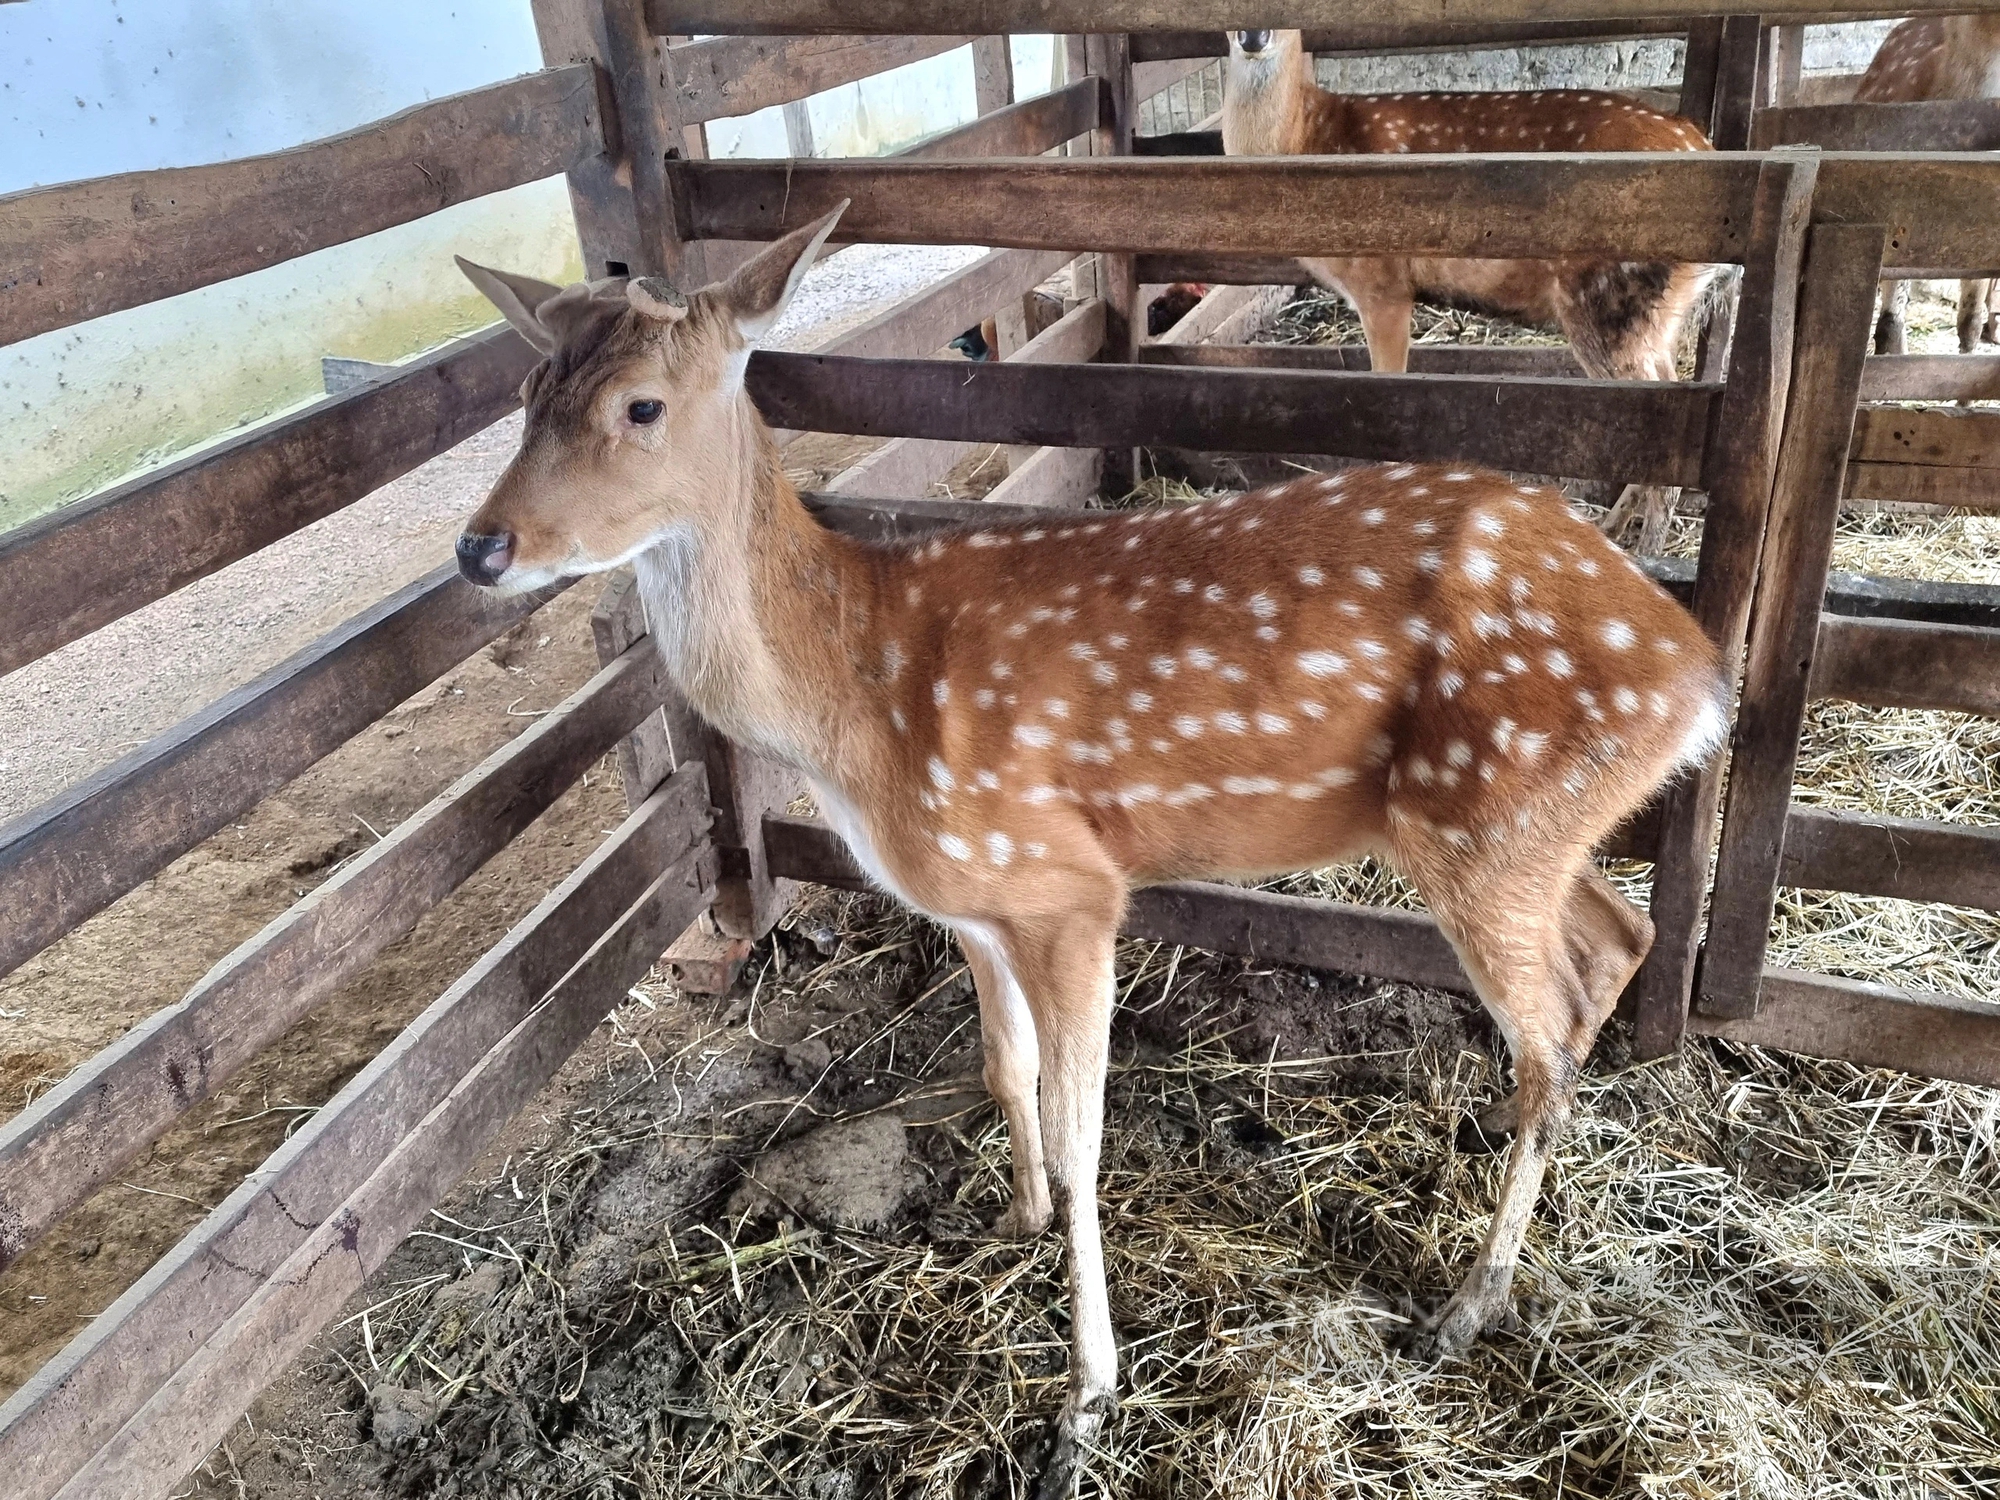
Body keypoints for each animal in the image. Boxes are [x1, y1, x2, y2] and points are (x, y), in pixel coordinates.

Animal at [446, 209, 1728, 1496]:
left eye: (642, 406)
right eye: (525, 392)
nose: (480, 549)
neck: (850, 704)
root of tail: (1698, 676)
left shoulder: (1068, 890)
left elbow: (1083, 1140)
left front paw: (1087, 1398)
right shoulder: (972, 903)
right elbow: (999, 1070)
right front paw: (1005, 1219)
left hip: (1483, 819)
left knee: (1549, 1027)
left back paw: (1469, 1301)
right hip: (1524, 827)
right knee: (1617, 937)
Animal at [1208, 27, 1728, 560]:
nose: (1253, 35)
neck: (1308, 136)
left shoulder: (1382, 282)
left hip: (1606, 299)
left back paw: (1649, 554)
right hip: (1656, 314)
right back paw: (1613, 530)